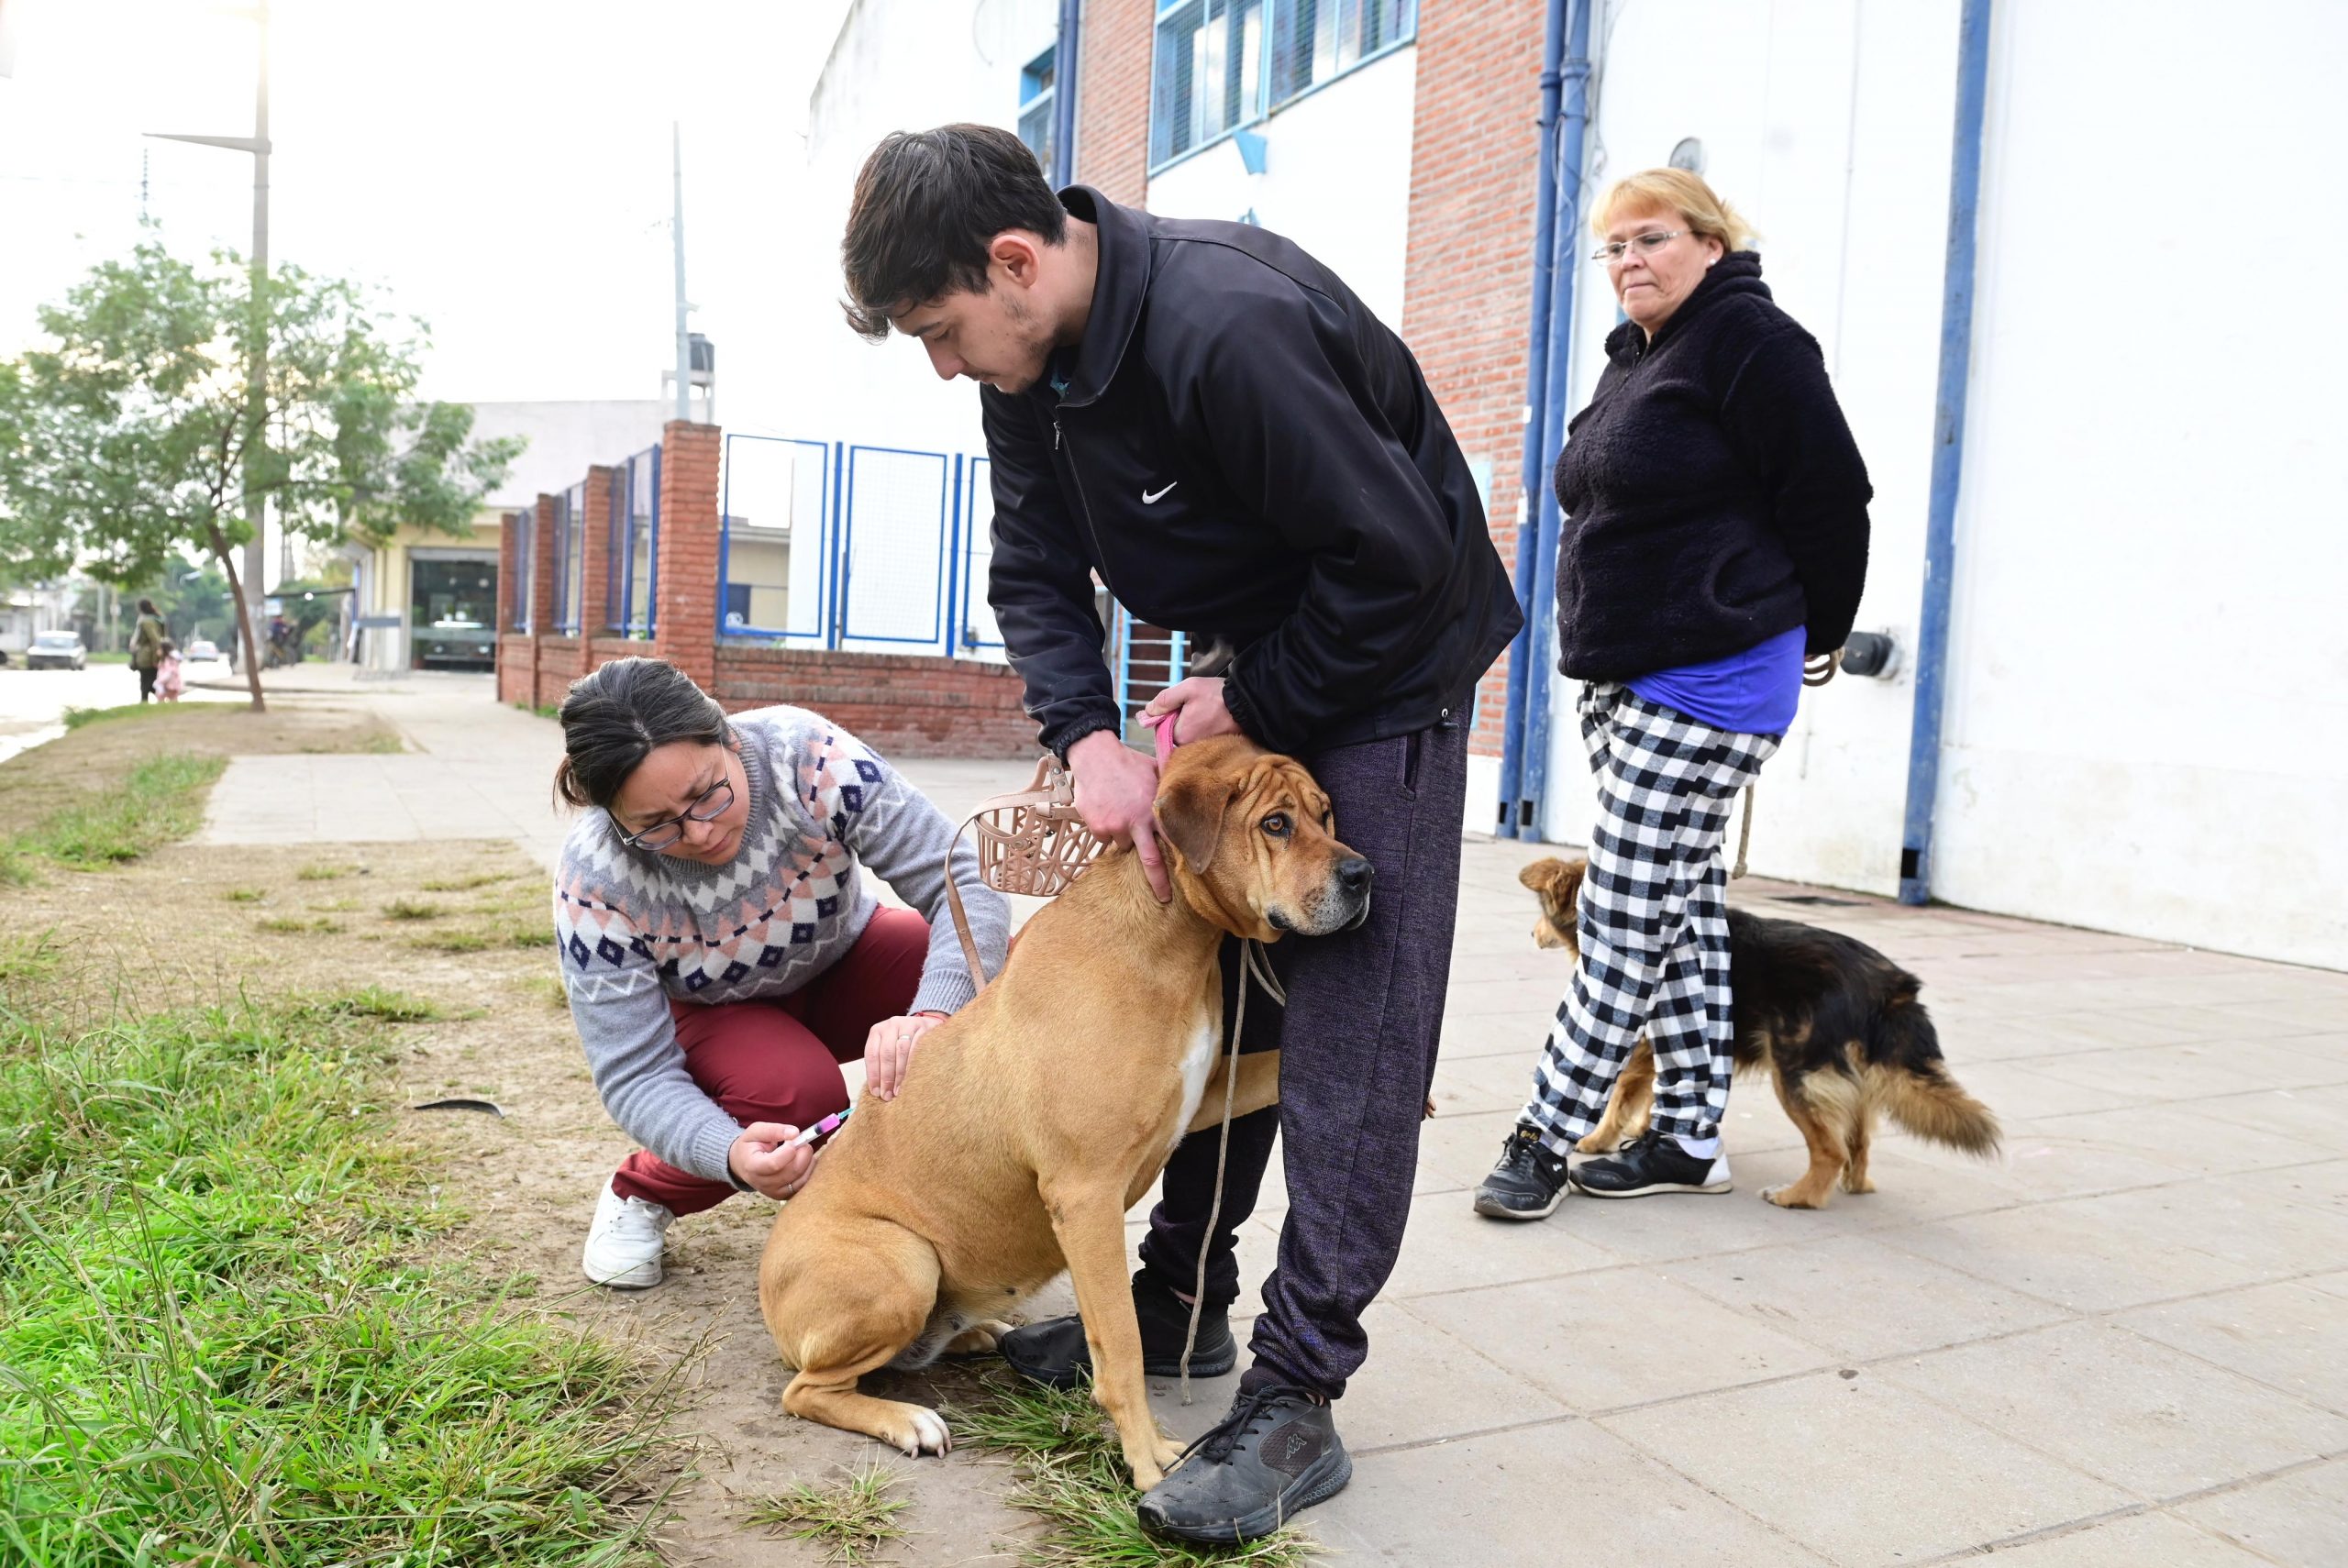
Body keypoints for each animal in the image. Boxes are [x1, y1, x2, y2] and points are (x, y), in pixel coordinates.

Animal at [757, 736, 1370, 1489]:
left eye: (1324, 813)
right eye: (1276, 824)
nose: (1363, 875)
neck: (1171, 938)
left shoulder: (1201, 1096)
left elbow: (1270, 1067)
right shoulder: (1086, 1195)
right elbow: (1123, 1343)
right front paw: (1147, 1458)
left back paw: (973, 1335)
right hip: (904, 1261)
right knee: (807, 1390)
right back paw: (909, 1421)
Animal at [1517, 856, 1999, 1208]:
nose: (1530, 933)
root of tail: (1889, 984)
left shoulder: (1642, 1042)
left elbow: (1620, 1098)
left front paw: (1597, 1141)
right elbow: (1656, 1096)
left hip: (1795, 1072)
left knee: (1831, 1150)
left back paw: (1798, 1197)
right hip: (1845, 1077)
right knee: (1858, 1140)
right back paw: (1856, 1184)